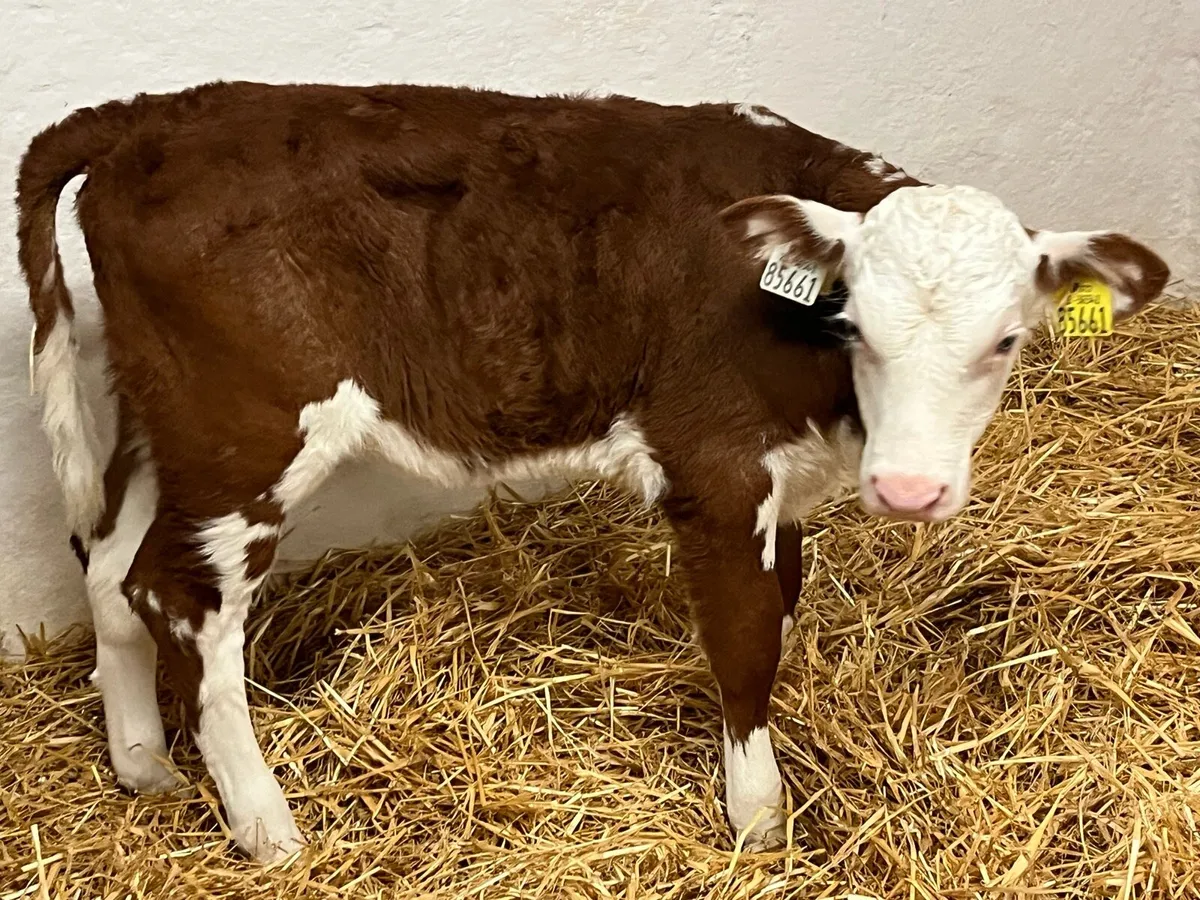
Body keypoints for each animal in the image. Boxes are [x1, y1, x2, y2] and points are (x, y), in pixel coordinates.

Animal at [17, 81, 1169, 862]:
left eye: (1009, 341)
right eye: (854, 324)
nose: (911, 492)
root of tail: (147, 116)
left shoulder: (783, 480)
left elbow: (786, 602)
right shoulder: (715, 465)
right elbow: (747, 640)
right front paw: (758, 819)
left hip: (161, 422)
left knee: (109, 565)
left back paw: (145, 767)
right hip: (244, 433)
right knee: (181, 600)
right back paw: (267, 827)